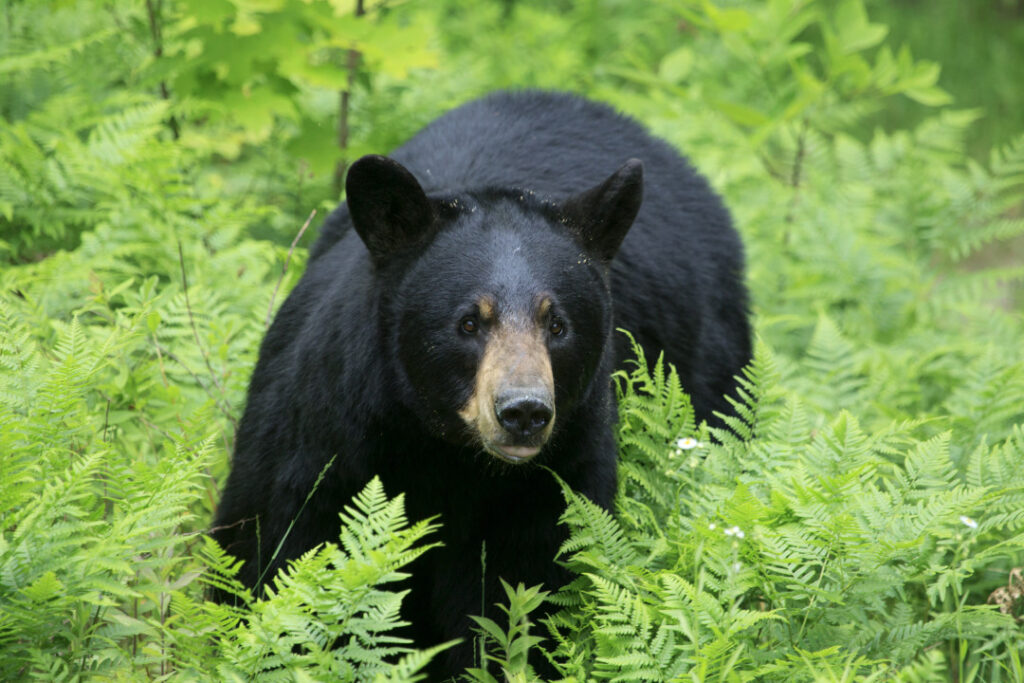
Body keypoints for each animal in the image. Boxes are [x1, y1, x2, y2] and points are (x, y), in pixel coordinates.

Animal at [209, 90, 753, 679]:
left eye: (557, 324)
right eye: (469, 322)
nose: (523, 411)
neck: (445, 455)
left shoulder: (556, 483)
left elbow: (522, 607)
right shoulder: (320, 445)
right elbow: (270, 555)